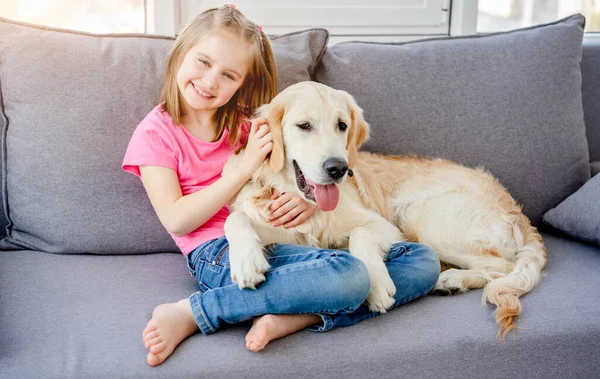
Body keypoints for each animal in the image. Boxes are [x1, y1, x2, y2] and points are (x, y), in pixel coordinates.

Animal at [223, 81, 548, 340]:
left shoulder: (385, 226)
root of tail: (517, 209)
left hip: (421, 217)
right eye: (304, 126)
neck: (304, 200)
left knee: (501, 266)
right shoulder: (295, 234)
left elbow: (360, 236)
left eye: (342, 125)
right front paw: (247, 262)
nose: (338, 168)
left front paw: (378, 285)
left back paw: (452, 279)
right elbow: (235, 219)